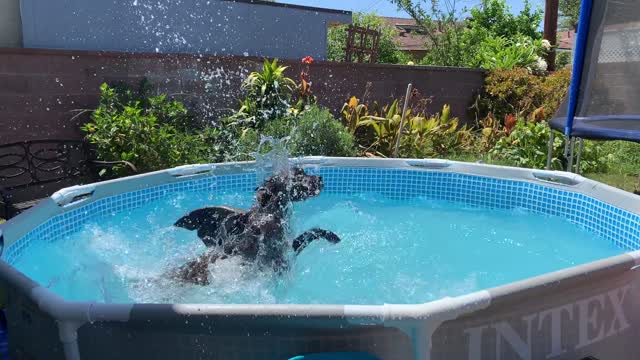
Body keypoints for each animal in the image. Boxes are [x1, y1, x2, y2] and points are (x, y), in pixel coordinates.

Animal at [170, 167, 340, 286]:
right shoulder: (277, 255)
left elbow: (310, 233)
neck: (269, 212)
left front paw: (330, 235)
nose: (319, 178)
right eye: (298, 174)